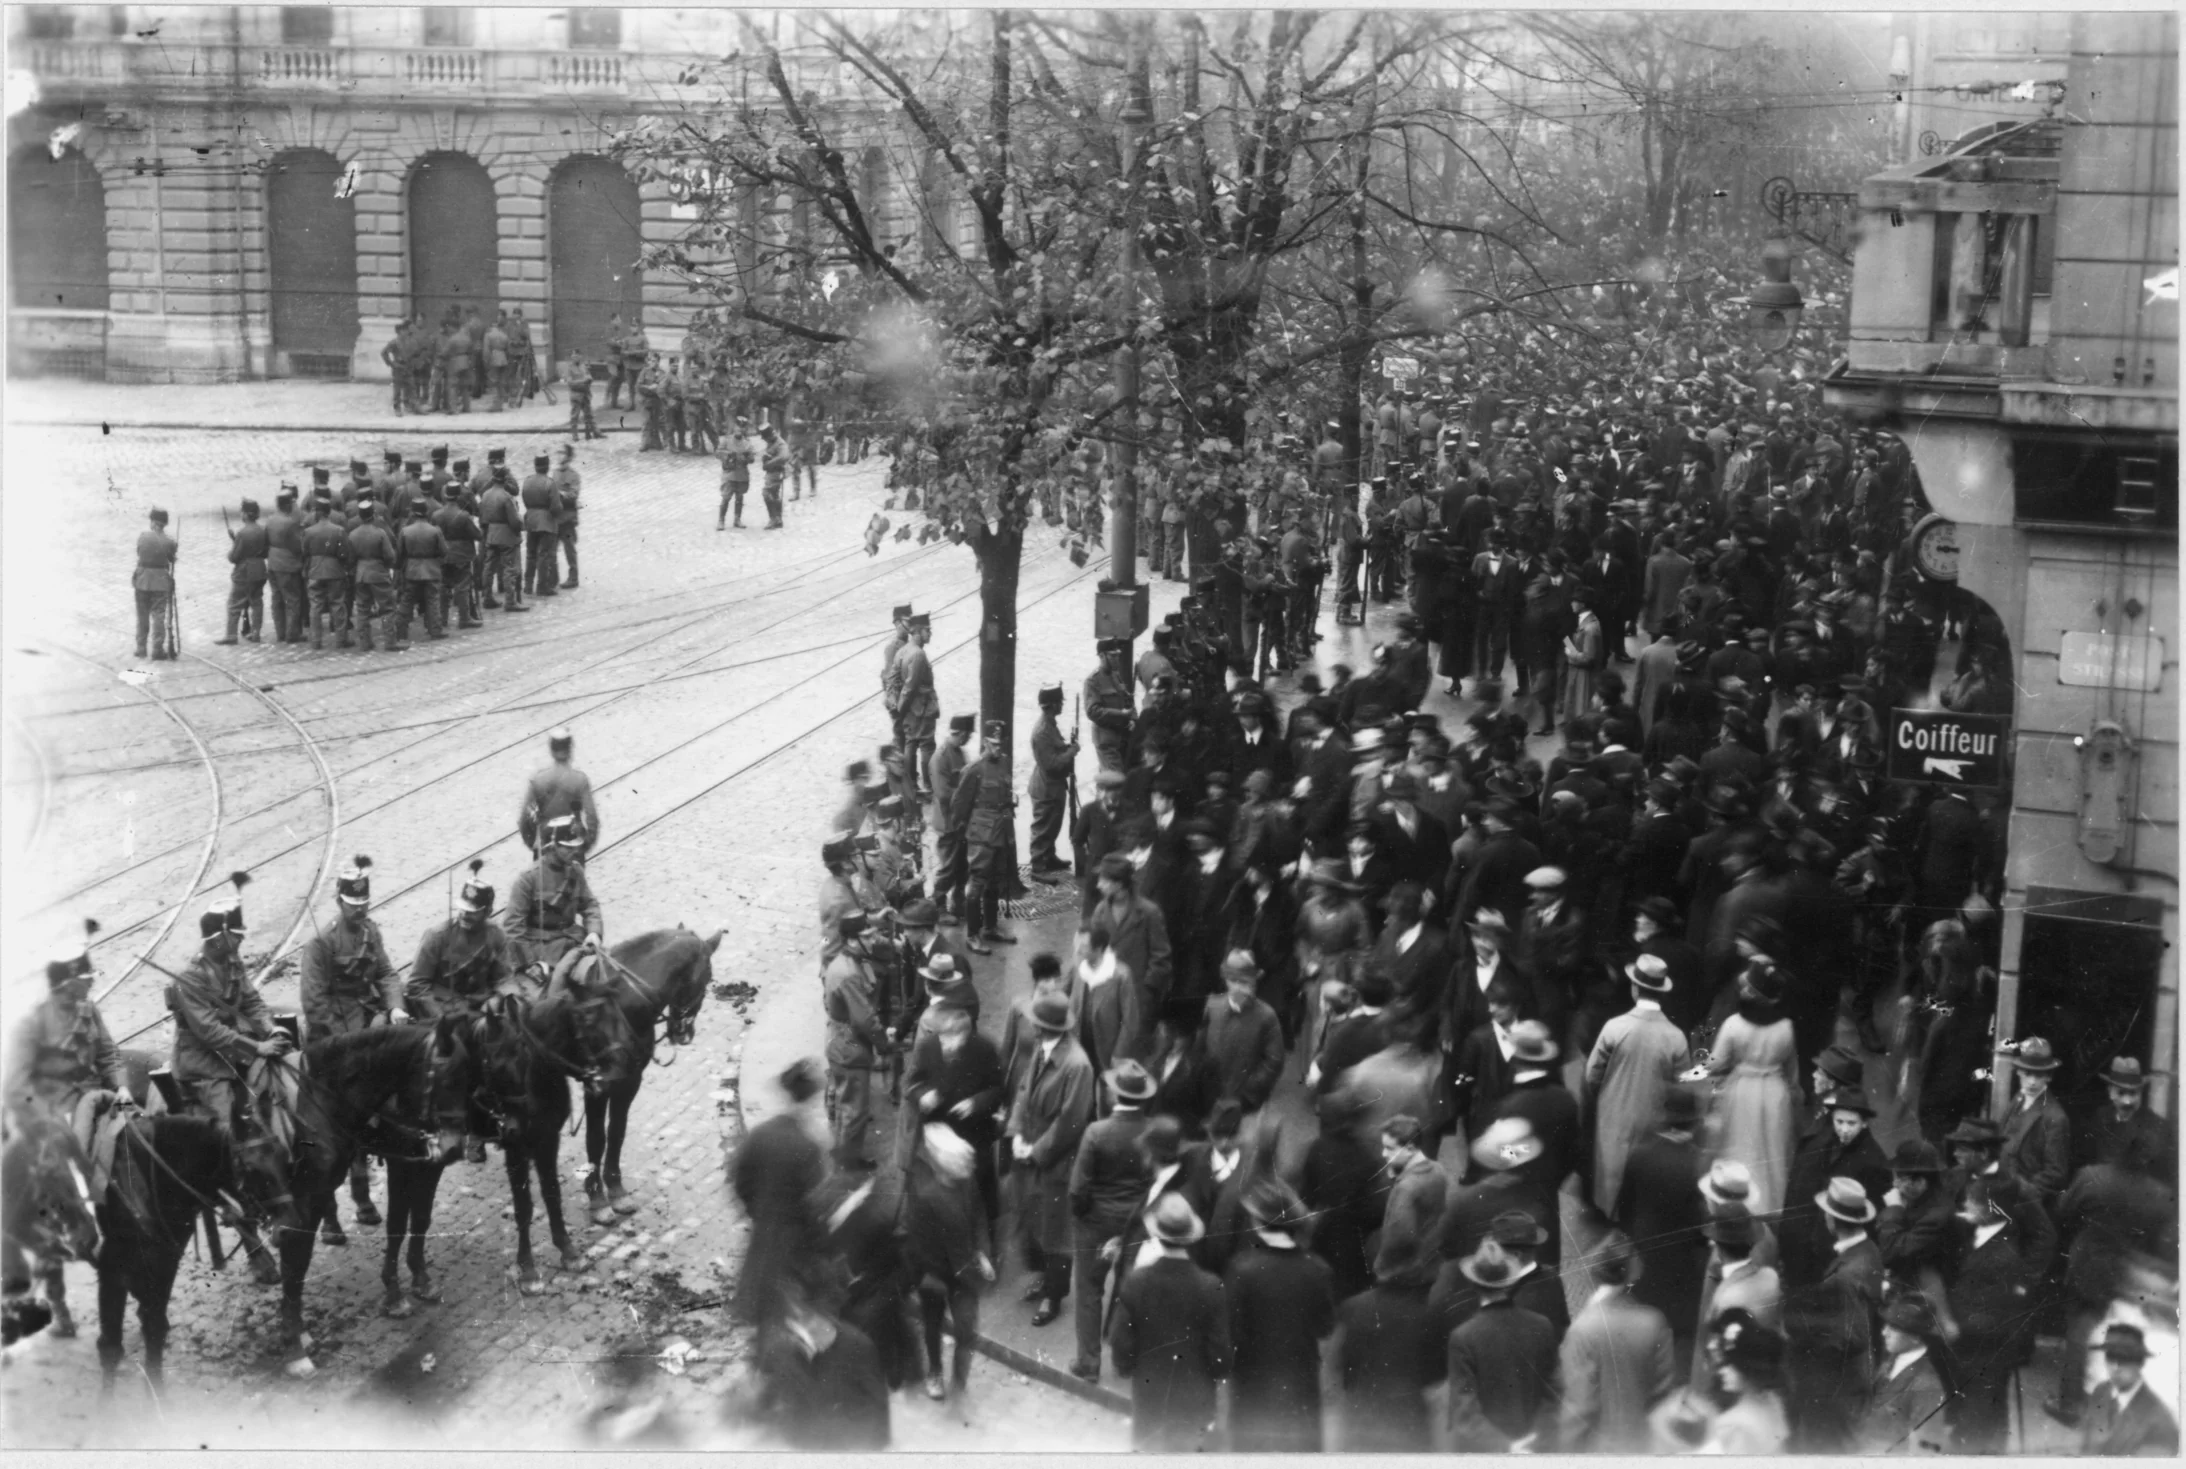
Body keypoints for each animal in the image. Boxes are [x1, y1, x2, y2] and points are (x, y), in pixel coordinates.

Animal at [437, 961, 638, 1294]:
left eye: (619, 1013)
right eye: (589, 1019)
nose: (626, 1065)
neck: (537, 1079)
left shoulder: (548, 1139)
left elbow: (552, 1194)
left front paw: (568, 1251)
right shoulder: (516, 1148)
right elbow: (524, 1207)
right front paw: (528, 1269)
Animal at [577, 931, 721, 1224]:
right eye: (708, 976)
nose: (684, 1032)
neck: (619, 1004)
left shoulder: (630, 1081)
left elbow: (617, 1131)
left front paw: (616, 1190)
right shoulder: (596, 1087)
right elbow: (596, 1137)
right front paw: (597, 1199)